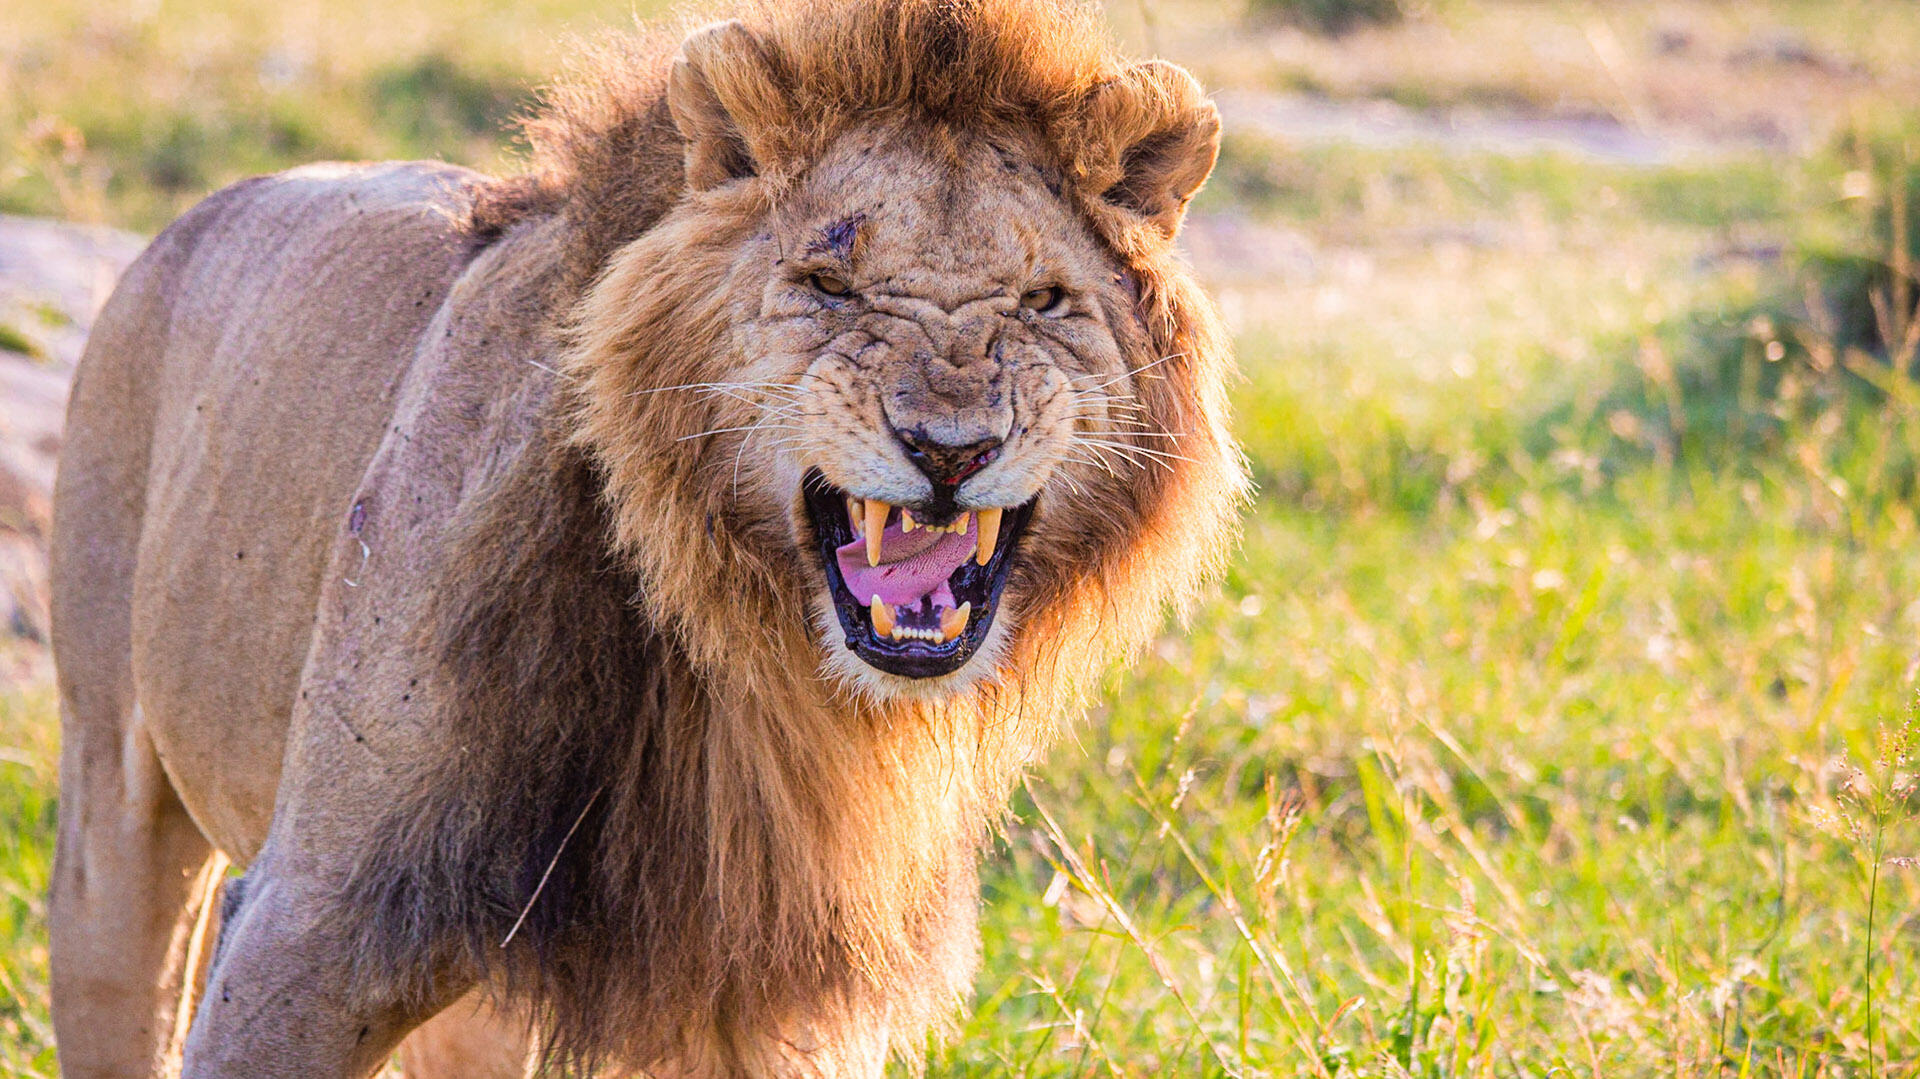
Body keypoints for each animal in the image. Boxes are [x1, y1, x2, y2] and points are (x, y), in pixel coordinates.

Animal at [48, 2, 1244, 1075]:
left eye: (1042, 300)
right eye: (828, 284)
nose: (949, 447)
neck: (748, 663)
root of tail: (198, 213)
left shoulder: (776, 1000)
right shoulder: (309, 928)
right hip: (111, 811)